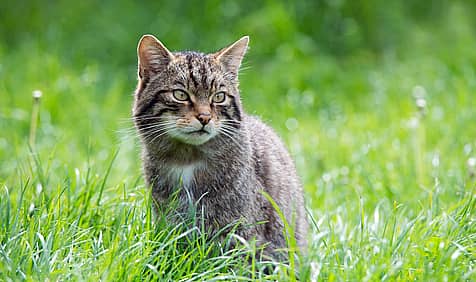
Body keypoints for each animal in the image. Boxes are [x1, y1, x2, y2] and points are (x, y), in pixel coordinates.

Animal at [132, 34, 308, 258]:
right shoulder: (169, 222)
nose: (205, 117)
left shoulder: (240, 235)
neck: (188, 158)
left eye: (219, 97)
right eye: (180, 94)